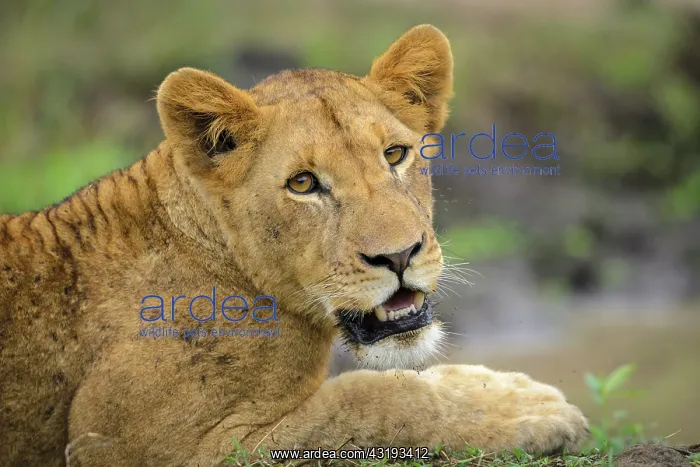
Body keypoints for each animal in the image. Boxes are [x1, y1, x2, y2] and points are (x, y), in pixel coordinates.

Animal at [0, 24, 588, 466]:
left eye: (394, 154)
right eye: (303, 184)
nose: (399, 256)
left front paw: (508, 391)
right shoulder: (155, 446)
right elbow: (371, 398)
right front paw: (528, 415)